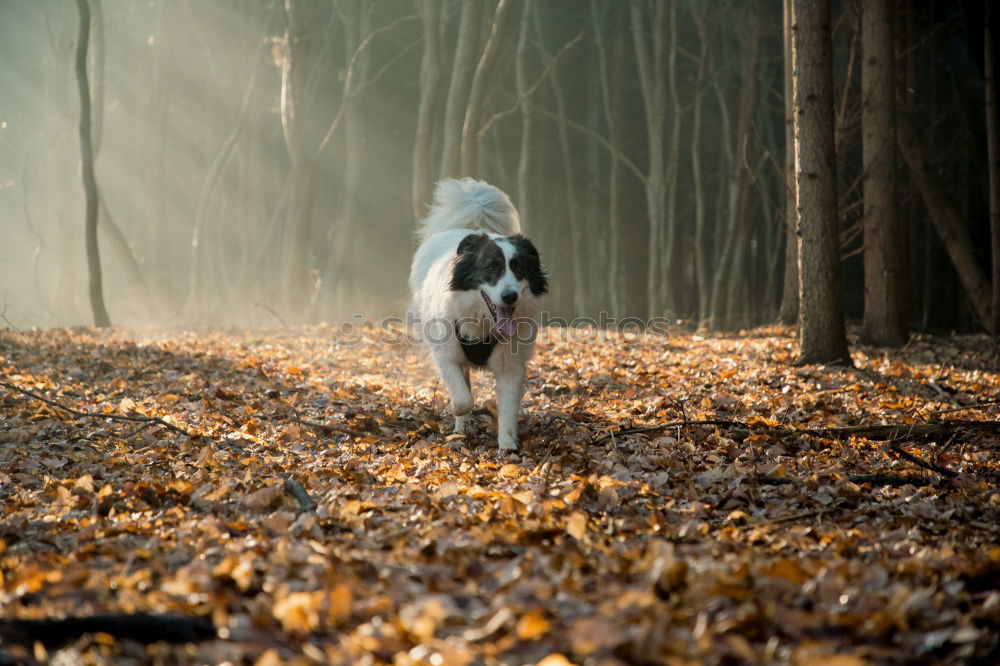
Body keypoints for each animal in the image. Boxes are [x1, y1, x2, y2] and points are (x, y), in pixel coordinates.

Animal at [408, 178, 548, 452]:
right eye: (491, 267)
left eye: (519, 268)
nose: (509, 297)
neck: (484, 322)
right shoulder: (447, 354)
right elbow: (463, 398)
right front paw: (457, 411)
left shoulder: (511, 362)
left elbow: (508, 405)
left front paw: (507, 445)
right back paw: (460, 428)